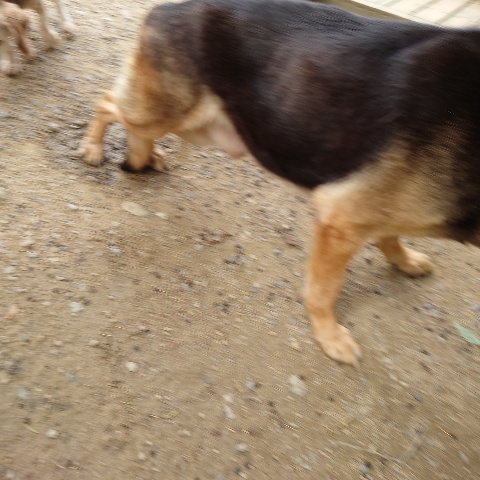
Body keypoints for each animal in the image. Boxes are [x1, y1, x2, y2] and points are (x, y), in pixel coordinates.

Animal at [80, 0, 480, 366]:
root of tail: (165, 8)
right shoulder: (340, 218)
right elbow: (323, 291)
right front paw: (329, 335)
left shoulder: (376, 203)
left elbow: (389, 235)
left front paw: (405, 261)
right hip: (168, 111)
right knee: (108, 102)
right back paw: (94, 147)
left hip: (199, 125)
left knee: (131, 121)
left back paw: (147, 156)